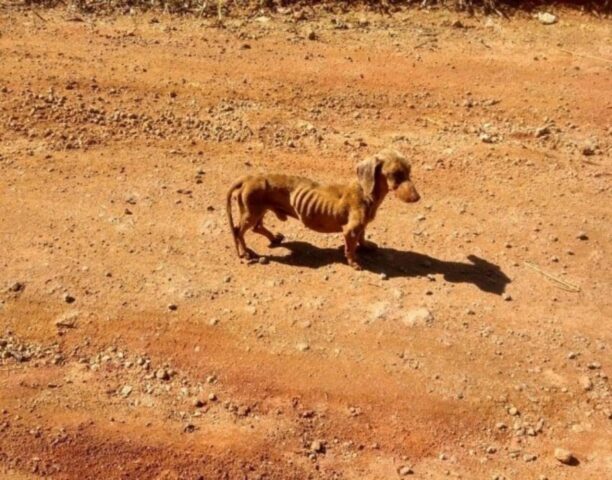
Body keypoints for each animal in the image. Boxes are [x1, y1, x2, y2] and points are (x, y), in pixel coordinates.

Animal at [226, 149, 420, 270]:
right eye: (395, 174)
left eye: (409, 171)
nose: (417, 198)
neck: (364, 191)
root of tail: (248, 178)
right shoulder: (349, 230)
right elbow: (351, 248)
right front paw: (353, 262)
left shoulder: (362, 225)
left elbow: (362, 236)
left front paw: (365, 246)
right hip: (252, 212)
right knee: (238, 231)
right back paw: (245, 252)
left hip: (260, 210)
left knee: (257, 227)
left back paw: (273, 238)